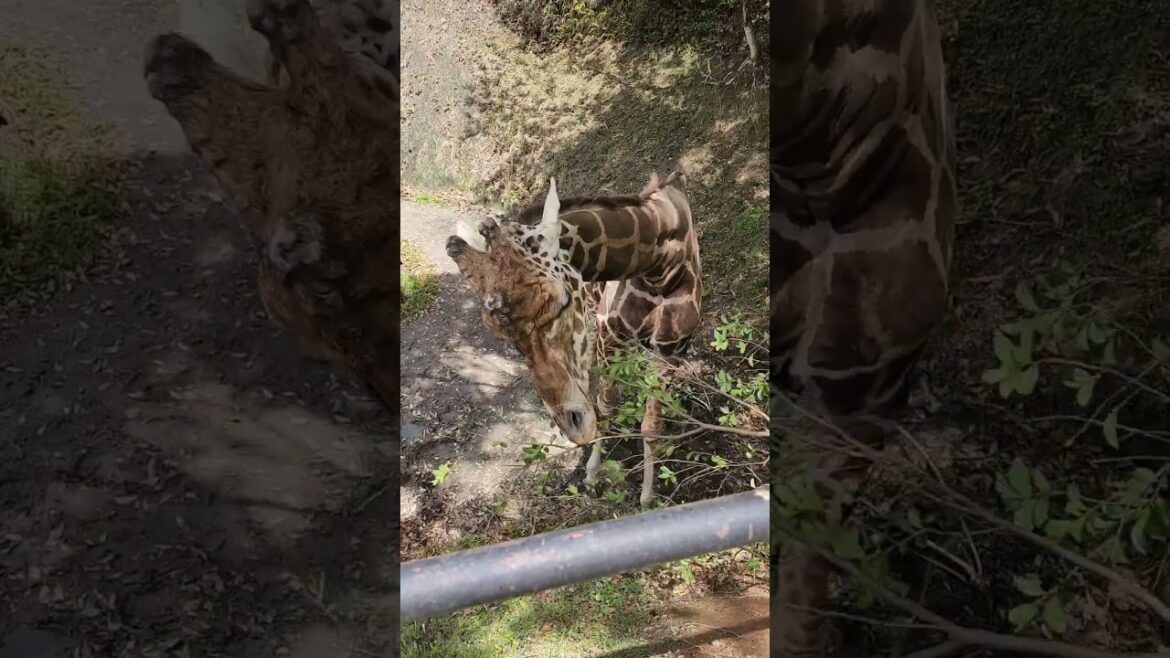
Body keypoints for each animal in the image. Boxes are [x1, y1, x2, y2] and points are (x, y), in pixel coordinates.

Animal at [445, 172, 702, 507]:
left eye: (561, 302)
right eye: (498, 332)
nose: (575, 428)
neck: (661, 267)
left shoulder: (671, 352)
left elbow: (651, 426)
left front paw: (647, 498)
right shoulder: (611, 339)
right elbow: (606, 408)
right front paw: (592, 476)